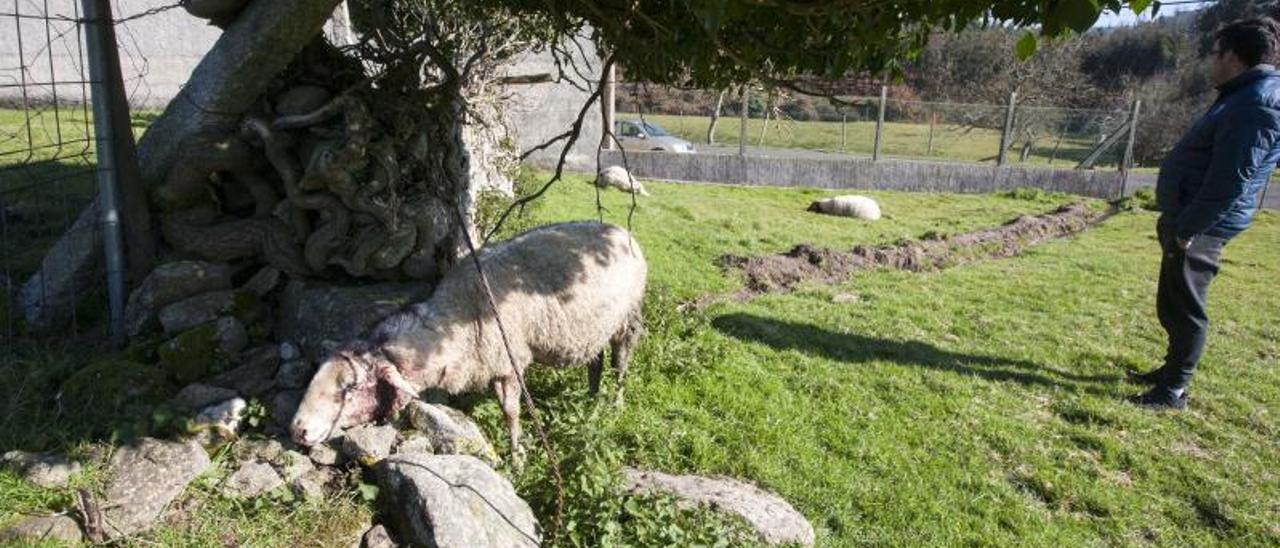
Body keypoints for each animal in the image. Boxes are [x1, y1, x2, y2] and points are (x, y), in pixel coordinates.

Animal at [293, 220, 650, 460]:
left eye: (349, 388)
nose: (297, 429)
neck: (458, 320)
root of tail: (620, 230)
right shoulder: (493, 362)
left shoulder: (510, 361)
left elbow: (510, 412)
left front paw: (517, 455)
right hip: (593, 326)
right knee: (595, 363)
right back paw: (591, 399)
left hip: (627, 318)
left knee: (620, 364)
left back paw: (614, 405)